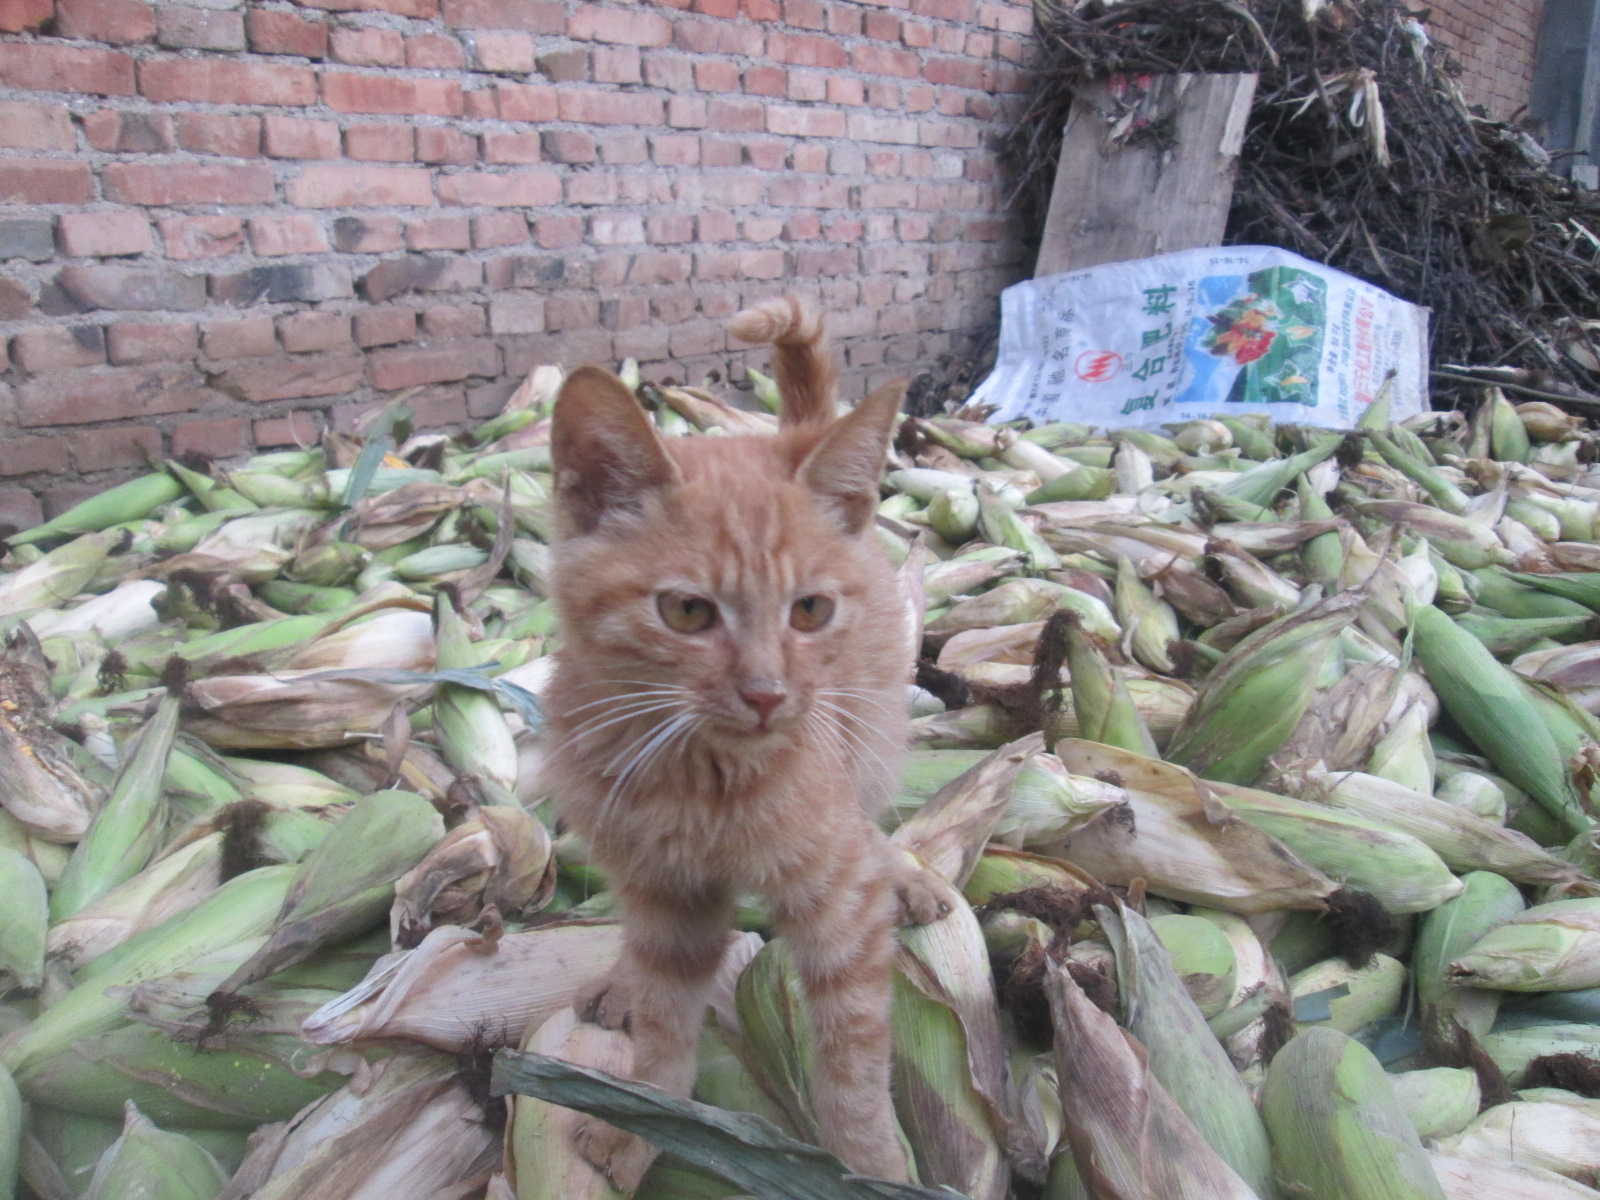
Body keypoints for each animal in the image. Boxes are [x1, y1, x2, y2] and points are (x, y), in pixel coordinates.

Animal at [541, 296, 944, 1189]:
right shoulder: (667, 902)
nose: (766, 694)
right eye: (687, 612)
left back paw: (908, 875)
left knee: (874, 821)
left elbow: (853, 1059)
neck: (707, 780)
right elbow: (664, 1023)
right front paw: (640, 1124)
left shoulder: (840, 909)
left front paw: (871, 1165)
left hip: (869, 733)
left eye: (810, 611)